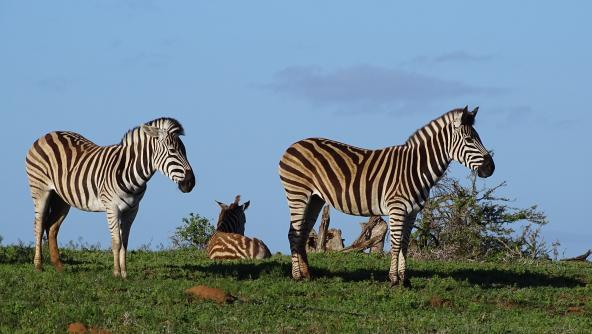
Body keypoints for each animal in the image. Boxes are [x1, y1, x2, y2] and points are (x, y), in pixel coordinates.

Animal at [280, 107, 492, 288]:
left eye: (478, 138)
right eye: (469, 139)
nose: (491, 168)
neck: (415, 168)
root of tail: (293, 145)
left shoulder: (413, 211)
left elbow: (405, 244)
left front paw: (405, 280)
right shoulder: (397, 207)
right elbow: (396, 244)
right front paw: (393, 279)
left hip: (315, 199)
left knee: (303, 233)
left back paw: (307, 274)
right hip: (297, 193)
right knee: (294, 233)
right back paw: (297, 276)